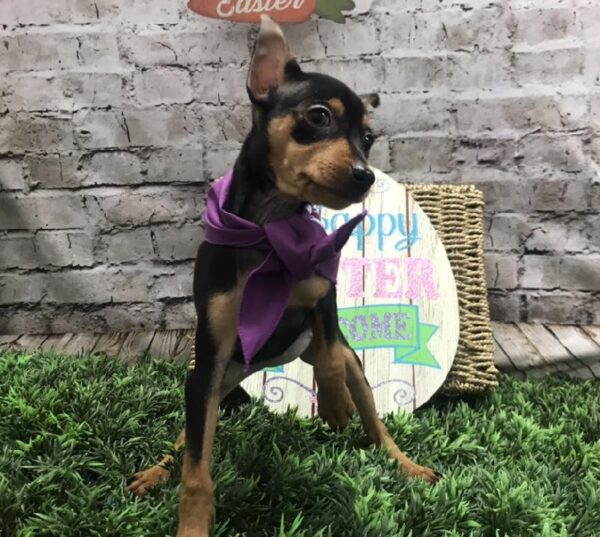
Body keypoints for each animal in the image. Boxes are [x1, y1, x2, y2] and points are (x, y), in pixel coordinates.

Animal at [127, 16, 436, 536]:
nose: (366, 175)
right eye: (319, 117)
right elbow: (197, 472)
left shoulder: (324, 296)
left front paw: (333, 404)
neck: (271, 229)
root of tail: (261, 364)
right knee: (184, 444)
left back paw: (403, 462)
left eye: (368, 138)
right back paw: (155, 472)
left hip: (350, 364)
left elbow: (330, 357)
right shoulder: (208, 364)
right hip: (213, 382)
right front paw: (192, 523)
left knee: (373, 420)